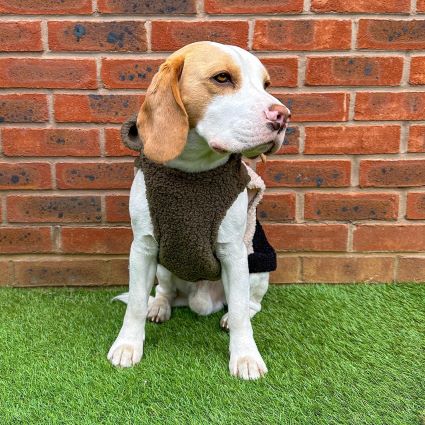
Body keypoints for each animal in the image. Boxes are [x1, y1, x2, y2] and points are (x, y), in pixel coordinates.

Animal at [107, 41, 290, 380]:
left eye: (266, 85)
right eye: (222, 78)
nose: (283, 116)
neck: (192, 171)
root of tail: (199, 301)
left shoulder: (234, 252)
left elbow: (242, 314)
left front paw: (245, 357)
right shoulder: (143, 247)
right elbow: (135, 302)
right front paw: (128, 345)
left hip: (256, 266)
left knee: (248, 305)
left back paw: (231, 316)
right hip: (164, 267)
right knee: (165, 293)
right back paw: (159, 307)